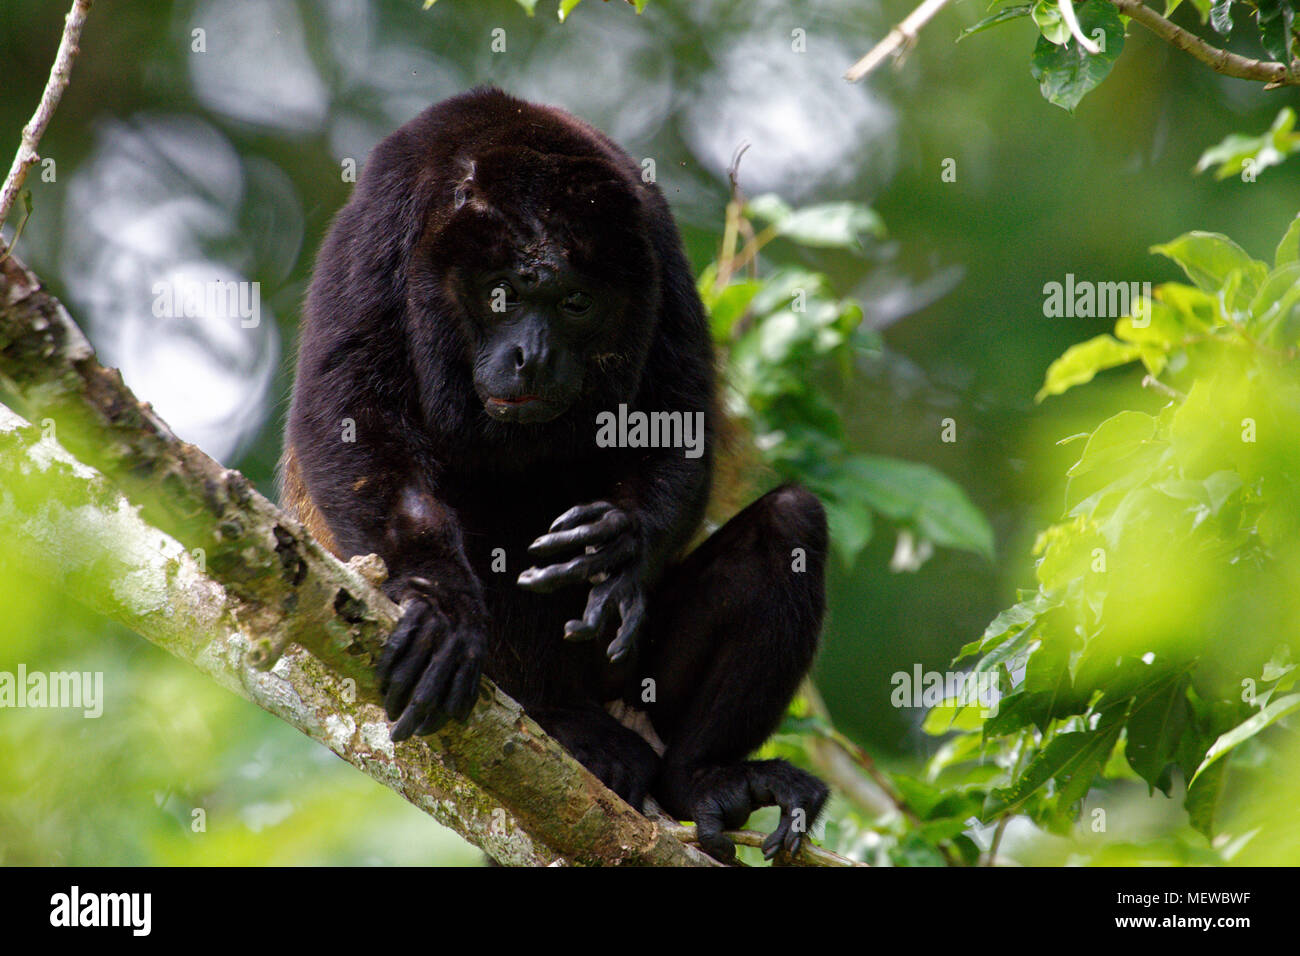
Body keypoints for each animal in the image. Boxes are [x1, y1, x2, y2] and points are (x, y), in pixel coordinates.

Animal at [284, 89, 832, 863]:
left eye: (576, 303)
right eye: (503, 295)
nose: (533, 356)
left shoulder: (655, 239)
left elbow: (679, 415)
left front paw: (619, 542)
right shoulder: (381, 220)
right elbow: (350, 416)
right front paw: (436, 600)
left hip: (626, 681)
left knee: (791, 523)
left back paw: (703, 779)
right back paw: (559, 724)